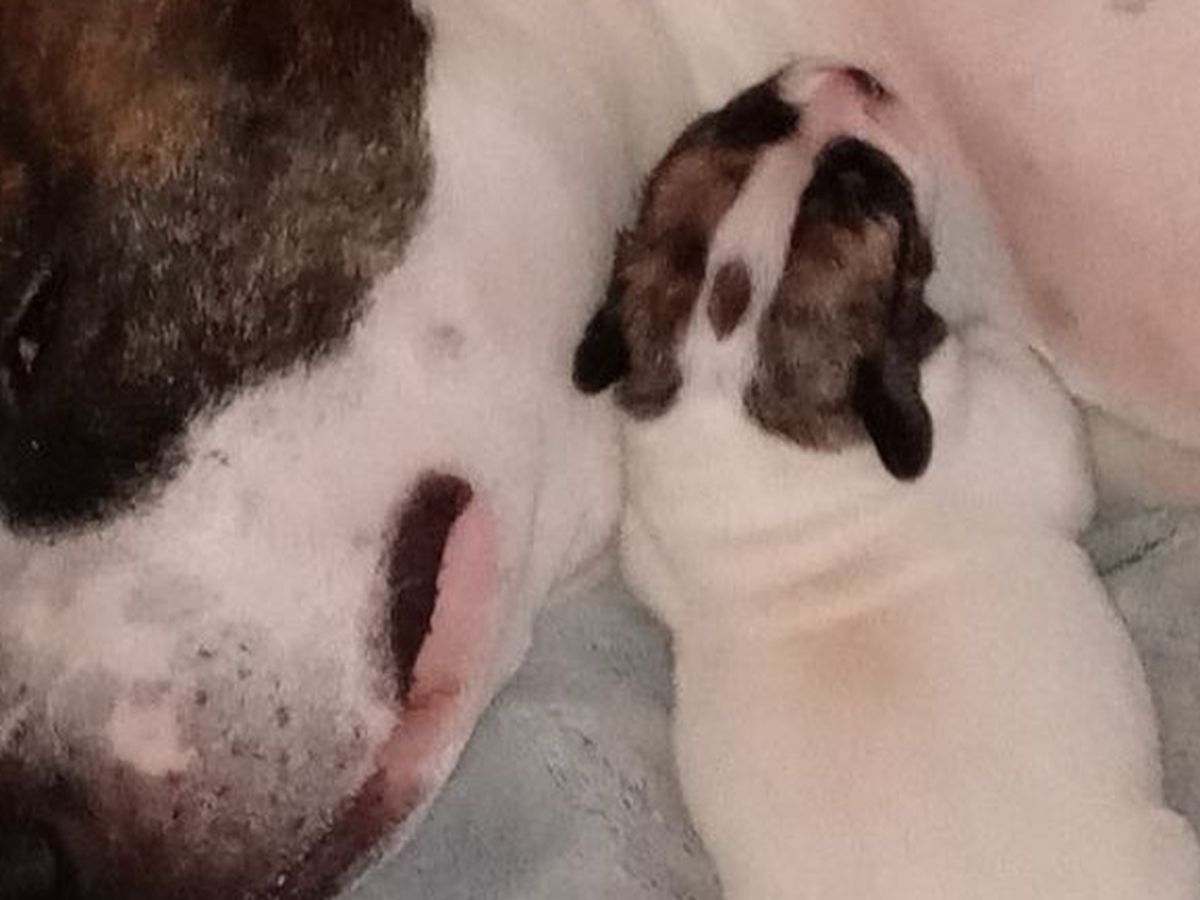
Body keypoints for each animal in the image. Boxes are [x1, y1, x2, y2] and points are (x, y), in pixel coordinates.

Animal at [574, 66, 1200, 898]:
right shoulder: (1007, 426)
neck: (736, 389)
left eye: (746, 115)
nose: (855, 77)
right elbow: (1042, 411)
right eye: (874, 189)